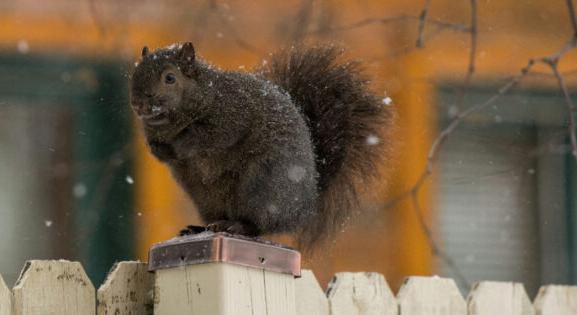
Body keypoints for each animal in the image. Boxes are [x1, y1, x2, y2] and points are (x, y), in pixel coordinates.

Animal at [129, 42, 392, 249]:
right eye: (135, 73)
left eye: (170, 78)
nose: (138, 104)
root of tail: (304, 206)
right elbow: (161, 153)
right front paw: (160, 149)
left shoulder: (233, 115)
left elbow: (212, 136)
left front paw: (182, 142)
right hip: (206, 198)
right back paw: (200, 228)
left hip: (262, 186)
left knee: (258, 226)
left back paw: (236, 225)